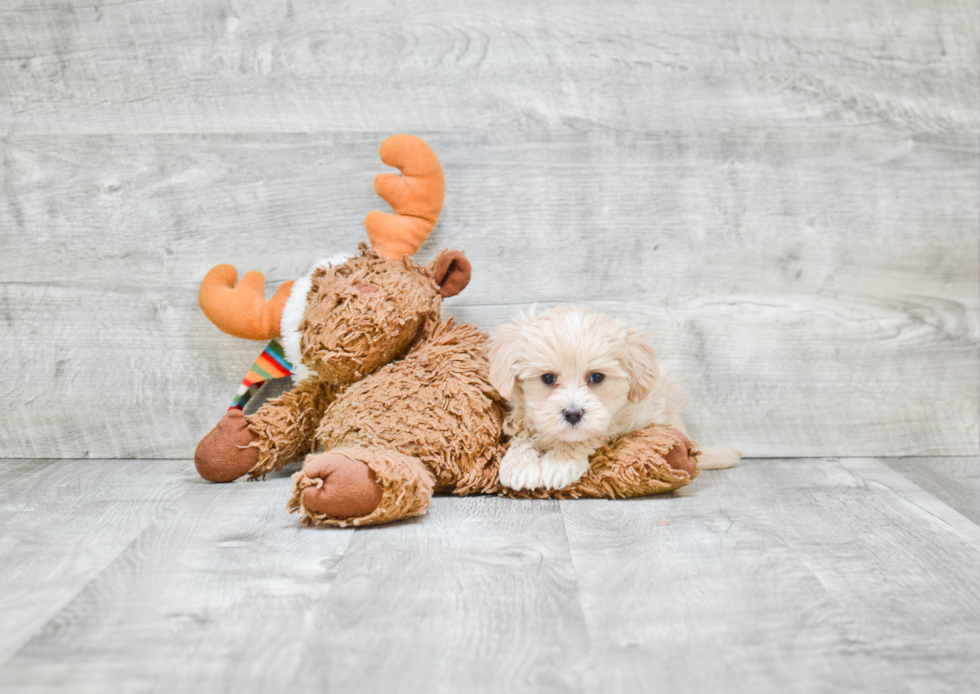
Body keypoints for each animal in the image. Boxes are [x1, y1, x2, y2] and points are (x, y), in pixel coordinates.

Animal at [486, 308, 740, 492]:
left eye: (597, 377)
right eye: (548, 378)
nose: (573, 414)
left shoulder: (629, 418)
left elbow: (590, 435)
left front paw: (560, 461)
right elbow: (523, 436)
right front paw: (519, 465)